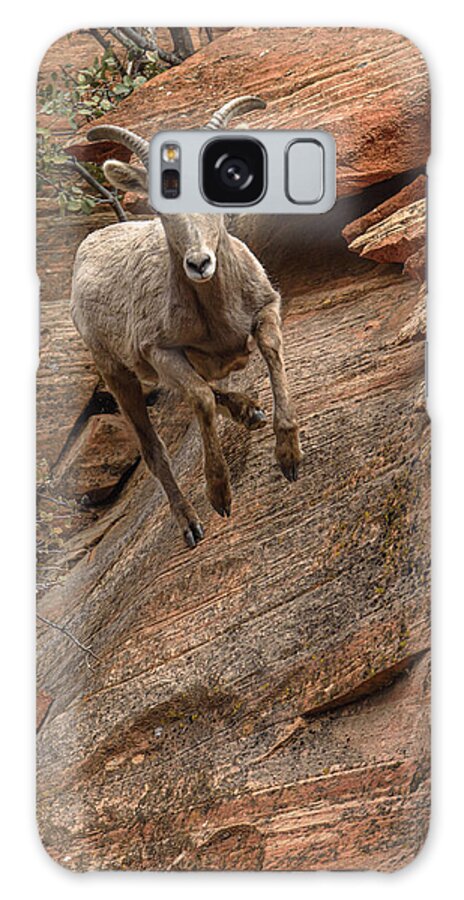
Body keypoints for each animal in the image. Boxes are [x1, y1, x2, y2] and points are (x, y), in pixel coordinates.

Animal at [70, 96, 302, 548]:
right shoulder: (161, 351)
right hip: (117, 373)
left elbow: (270, 353)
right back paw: (191, 525)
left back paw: (249, 412)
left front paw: (288, 457)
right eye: (163, 203)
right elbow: (200, 398)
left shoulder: (266, 309)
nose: (199, 263)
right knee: (155, 448)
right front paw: (220, 496)